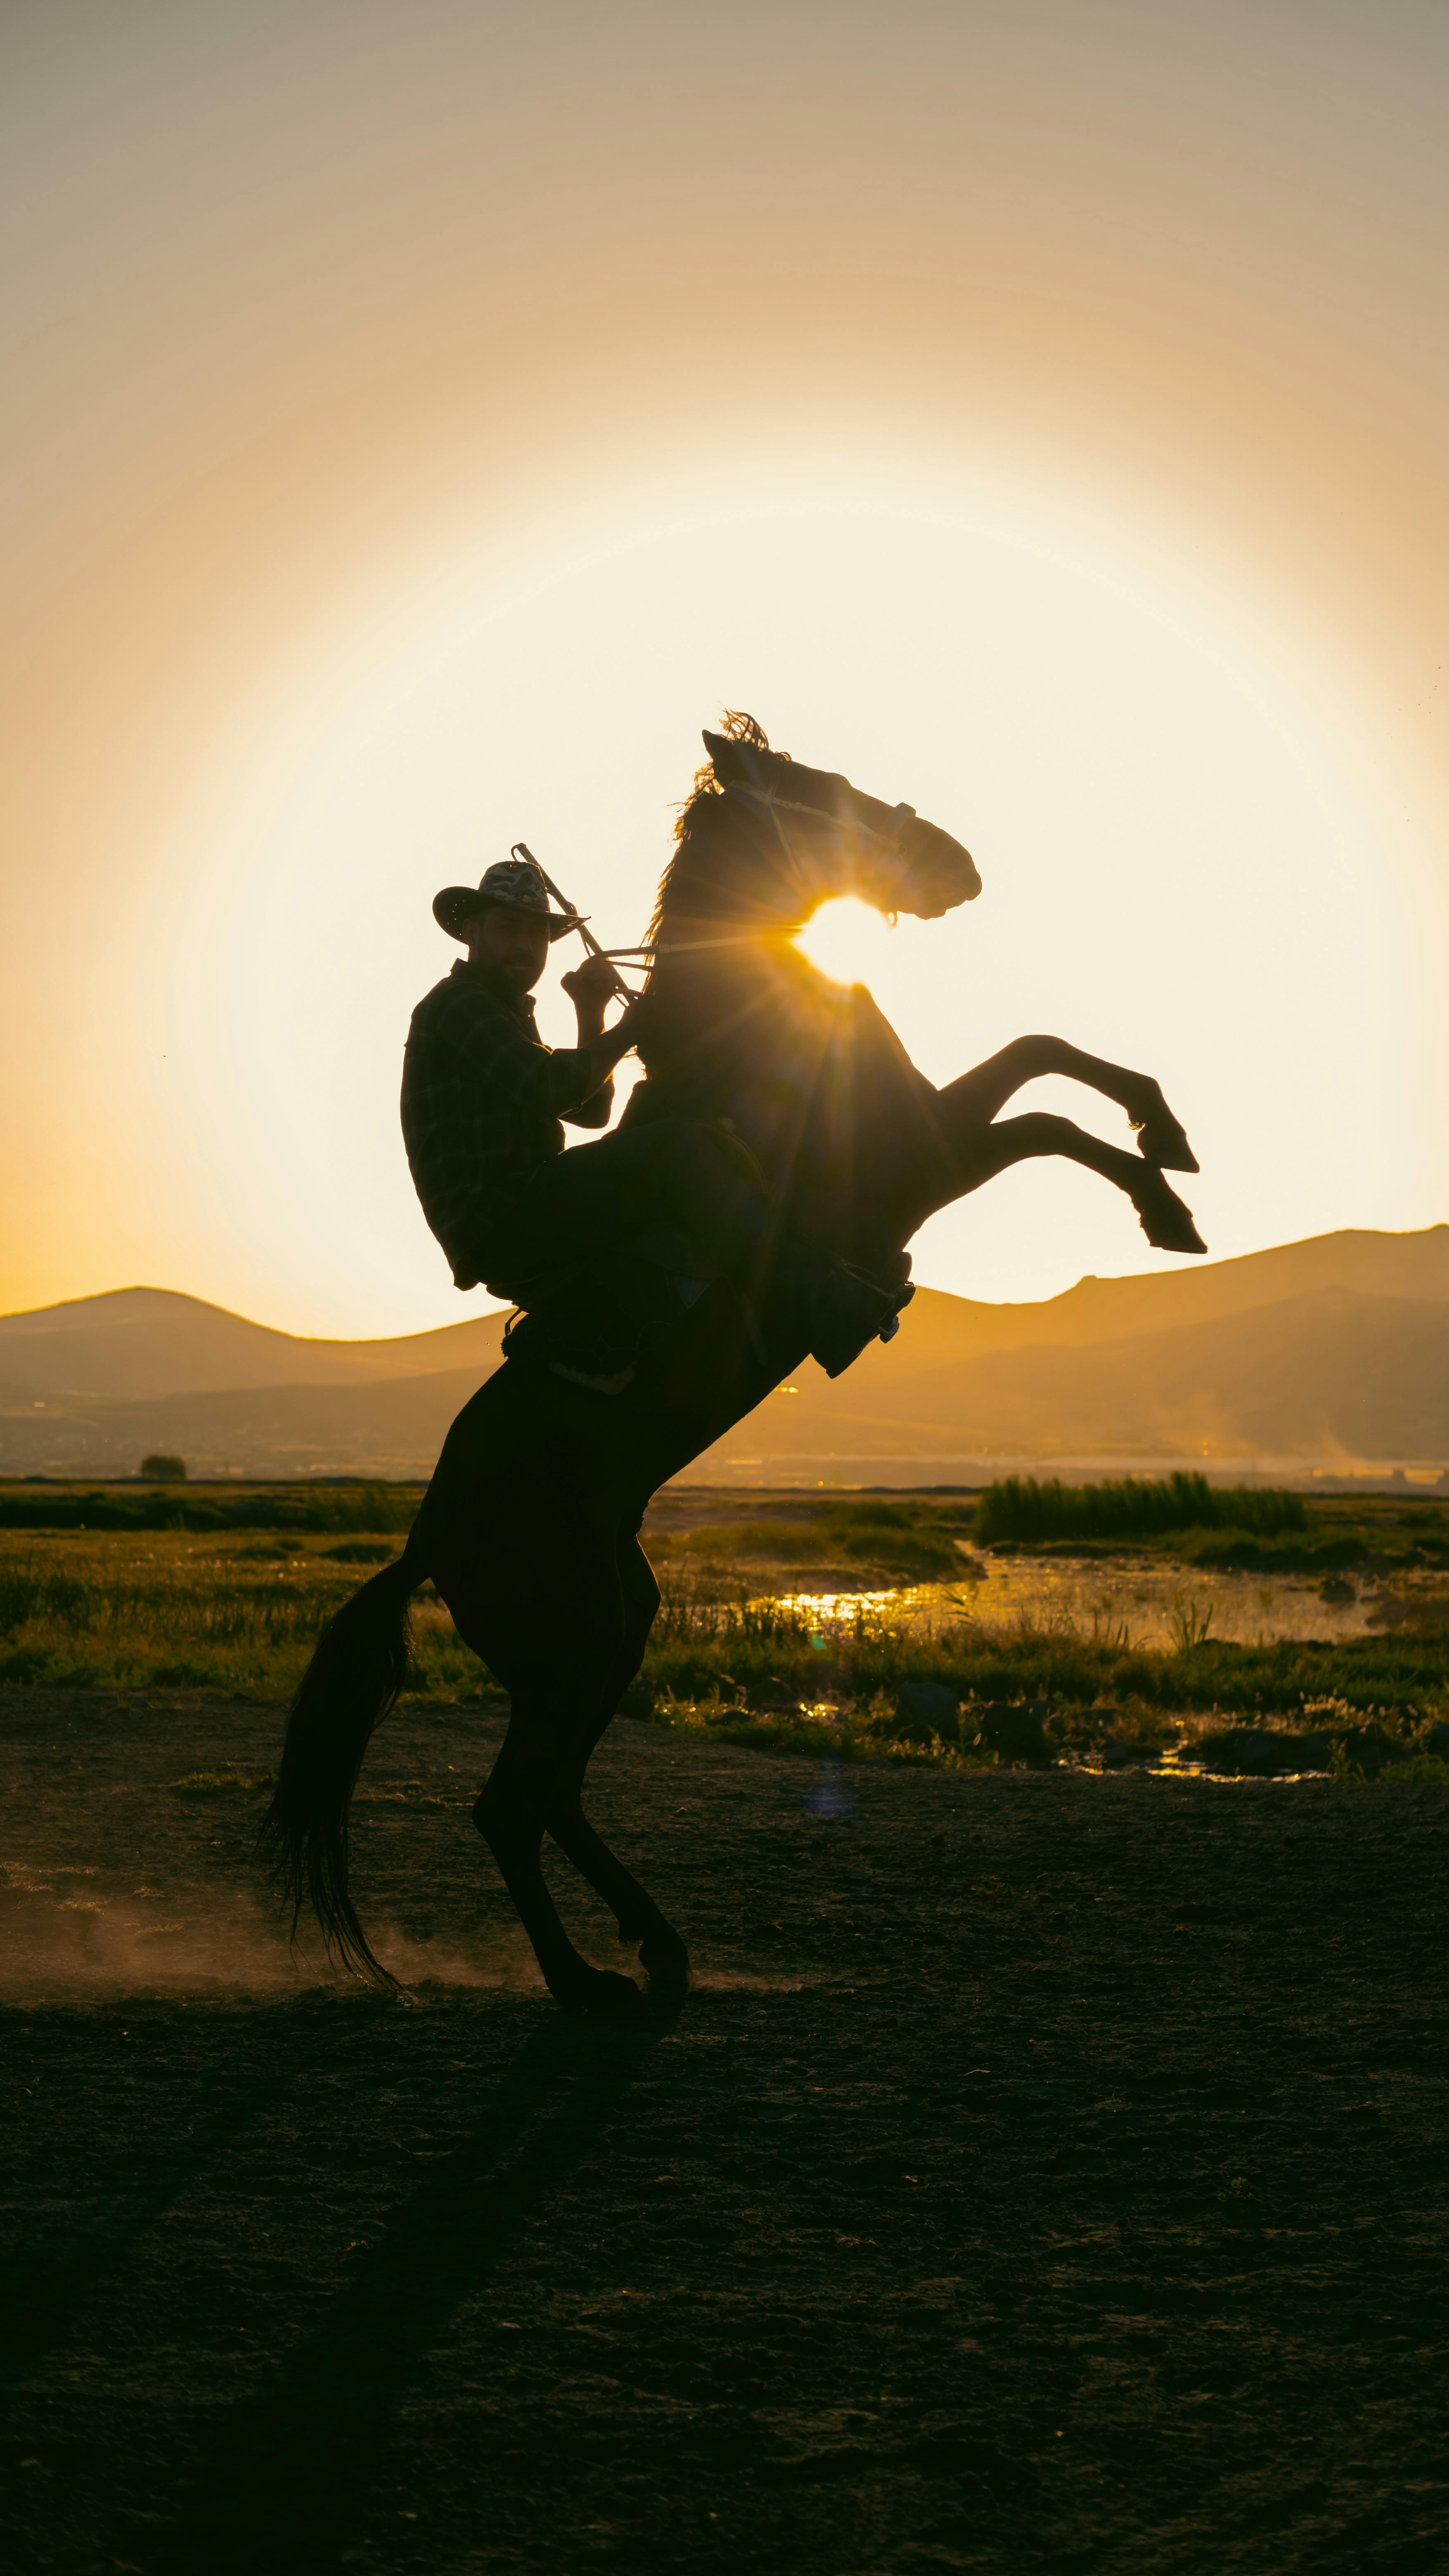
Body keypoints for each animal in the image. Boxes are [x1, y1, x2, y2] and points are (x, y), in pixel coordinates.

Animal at [265, 711, 1201, 2009]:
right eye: (824, 788)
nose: (957, 864)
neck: (757, 1026)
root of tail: (425, 1540)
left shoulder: (934, 1130)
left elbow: (1040, 1050)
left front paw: (1168, 1136)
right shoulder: (919, 1161)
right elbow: (1044, 1116)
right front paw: (1164, 1205)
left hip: (612, 1631)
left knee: (548, 1795)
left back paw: (652, 1945)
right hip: (575, 1641)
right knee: (508, 1806)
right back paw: (586, 1982)